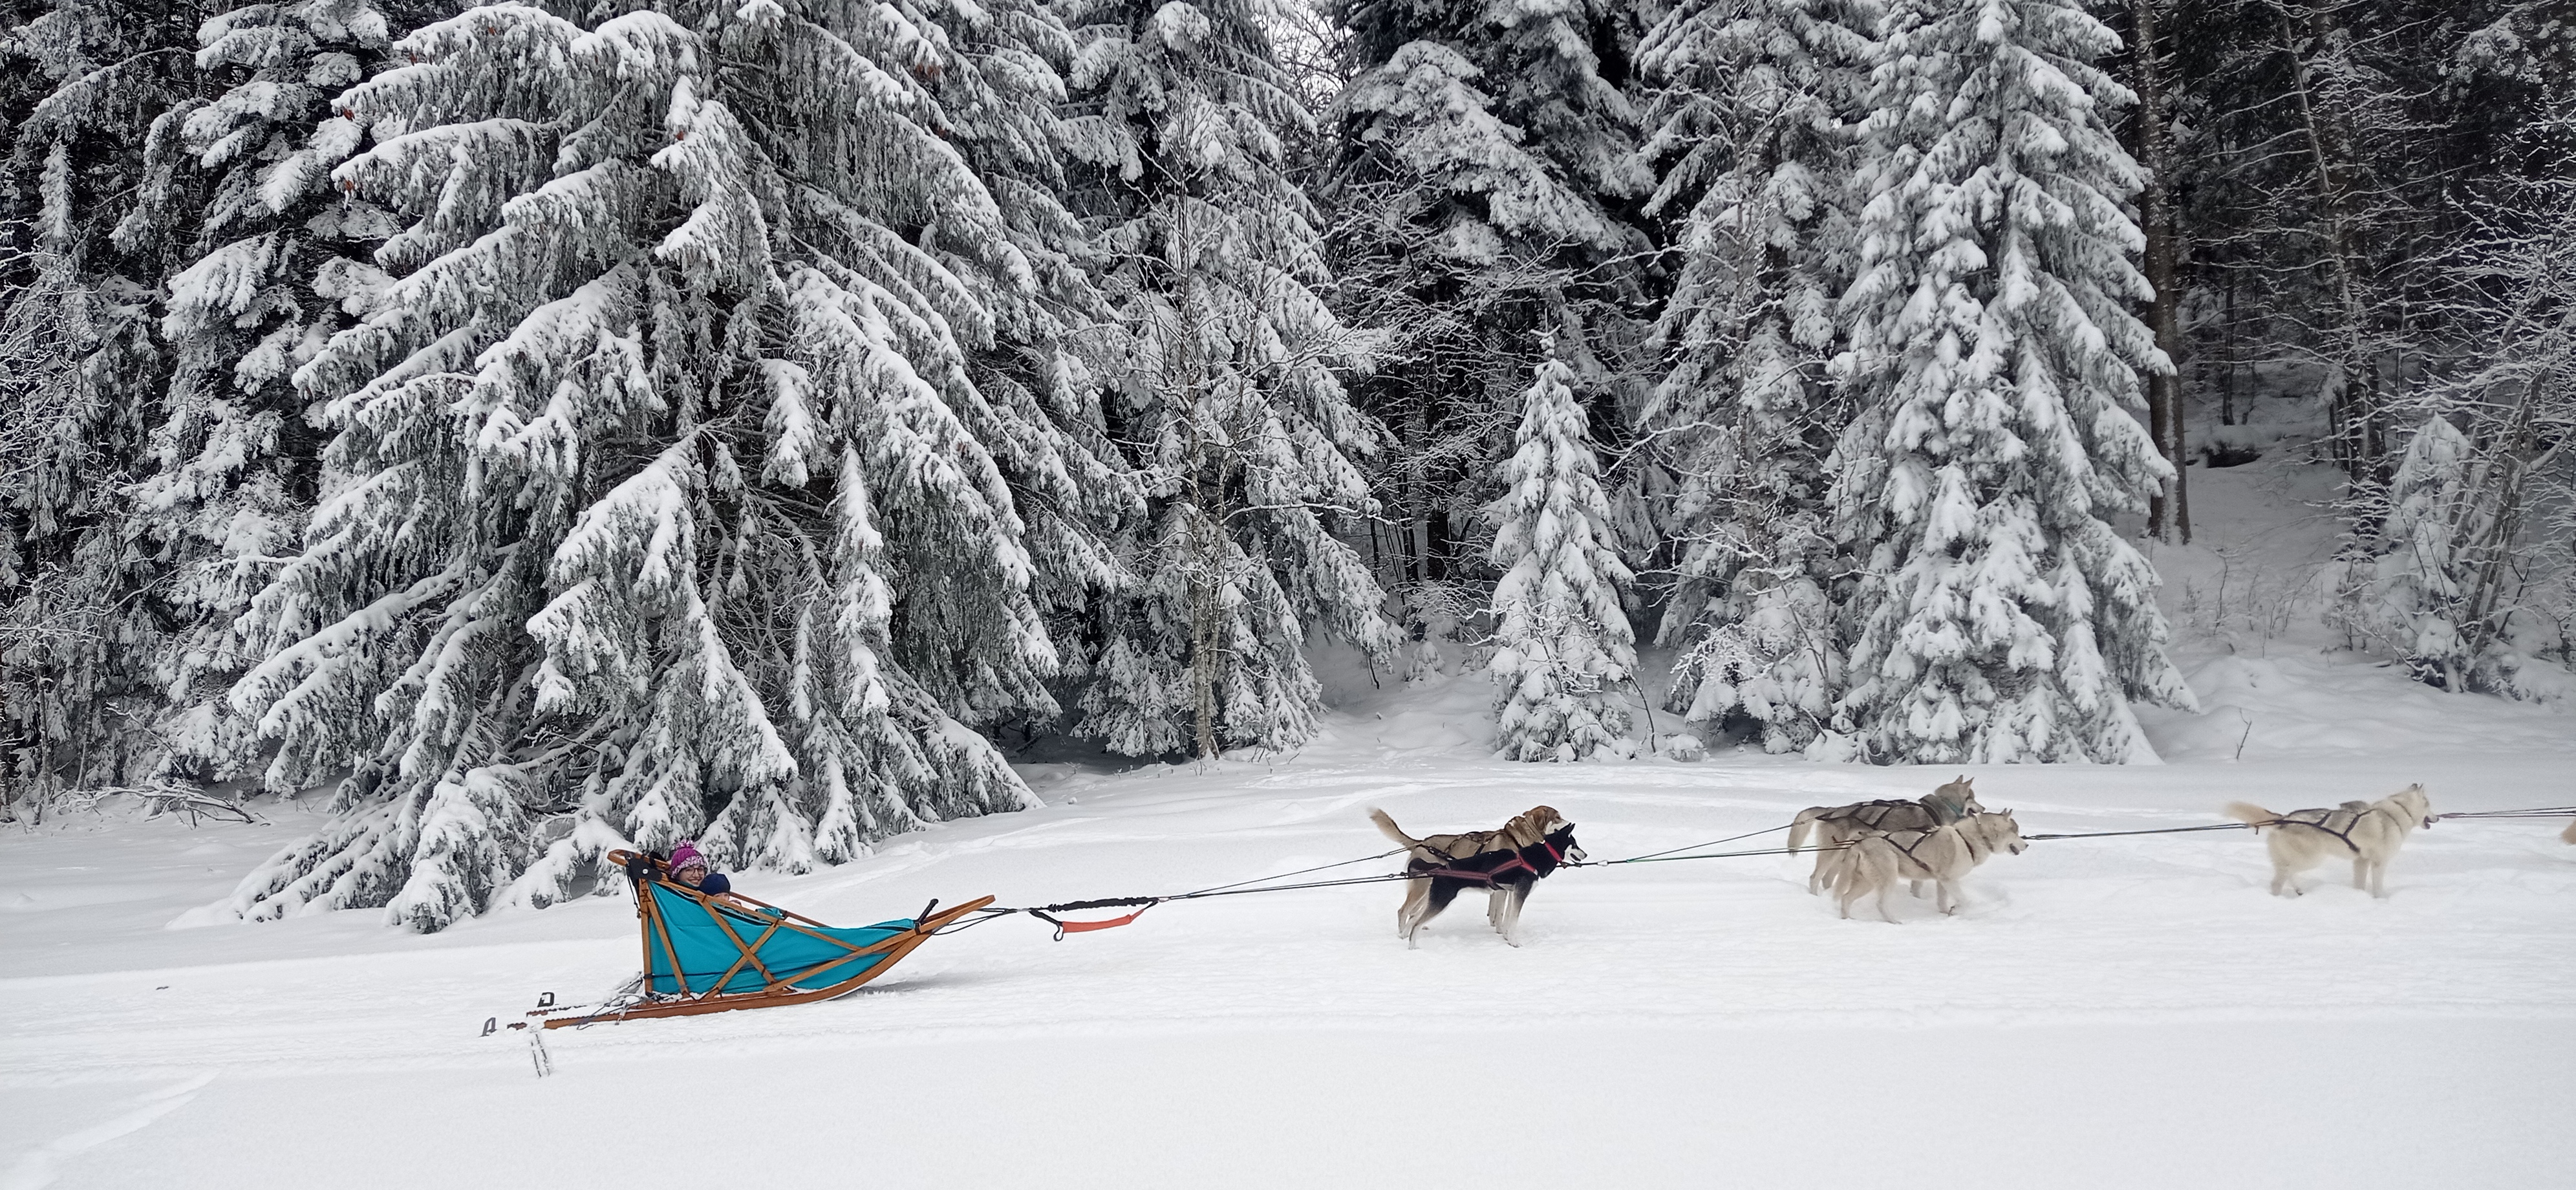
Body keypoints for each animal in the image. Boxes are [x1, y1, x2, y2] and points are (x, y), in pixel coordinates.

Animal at [1380, 808, 1576, 947]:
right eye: (1557, 817)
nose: (1571, 822)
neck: (1517, 841)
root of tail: (1420, 843)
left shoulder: (1504, 891)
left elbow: (1498, 913)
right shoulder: (1505, 892)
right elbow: (1502, 915)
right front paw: (1503, 933)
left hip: (1428, 893)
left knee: (1415, 914)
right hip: (1423, 889)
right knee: (1404, 911)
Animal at [1792, 783, 1988, 891]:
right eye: (1973, 798)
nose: (1984, 808)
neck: (1940, 807)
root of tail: (1833, 811)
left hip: (1842, 855)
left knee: (1827, 878)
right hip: (1830, 854)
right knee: (1815, 878)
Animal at [1823, 808, 2019, 922]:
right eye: (2017, 832)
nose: (2025, 844)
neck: (1967, 839)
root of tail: (1860, 843)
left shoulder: (1942, 882)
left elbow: (1942, 902)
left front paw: (1946, 914)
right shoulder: (1949, 880)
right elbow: (1964, 900)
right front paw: (1955, 909)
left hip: (1866, 883)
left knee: (1846, 898)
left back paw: (1848, 920)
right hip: (1887, 879)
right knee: (1880, 904)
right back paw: (1894, 922)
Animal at [2215, 783, 2431, 896]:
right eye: (2430, 805)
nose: (2436, 817)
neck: (2396, 814)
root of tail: (2284, 819)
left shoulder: (2360, 861)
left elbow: (2359, 883)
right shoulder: (2379, 863)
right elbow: (2378, 887)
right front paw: (2380, 901)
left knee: (2282, 876)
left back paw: (2297, 891)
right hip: (2312, 859)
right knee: (2283, 877)